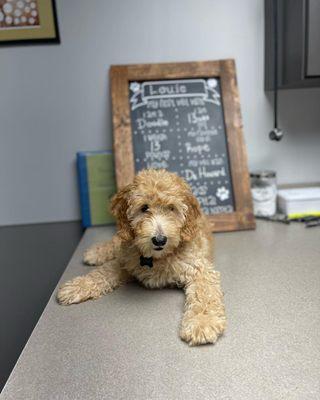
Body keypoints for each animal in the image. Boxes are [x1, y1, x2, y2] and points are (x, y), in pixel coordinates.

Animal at [58, 169, 228, 346]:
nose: (159, 240)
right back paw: (97, 252)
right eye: (144, 207)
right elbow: (103, 272)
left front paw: (202, 322)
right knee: (117, 240)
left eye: (171, 208)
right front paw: (78, 286)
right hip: (124, 238)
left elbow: (205, 295)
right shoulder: (126, 259)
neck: (156, 258)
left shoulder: (199, 269)